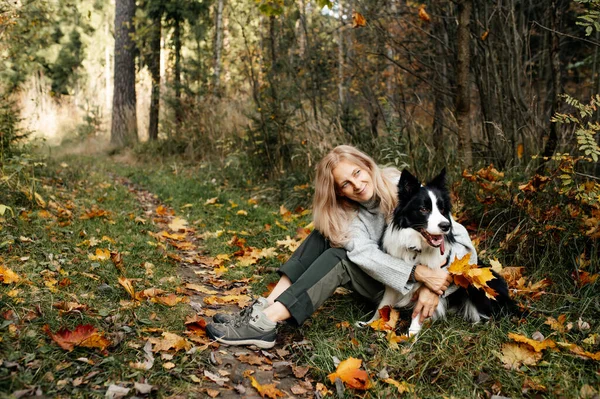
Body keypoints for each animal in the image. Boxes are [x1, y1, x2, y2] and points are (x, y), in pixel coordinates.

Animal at [368, 169, 512, 338]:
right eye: (423, 209)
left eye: (442, 209)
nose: (446, 226)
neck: (419, 248)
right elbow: (384, 303)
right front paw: (372, 323)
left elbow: (421, 309)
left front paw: (410, 336)